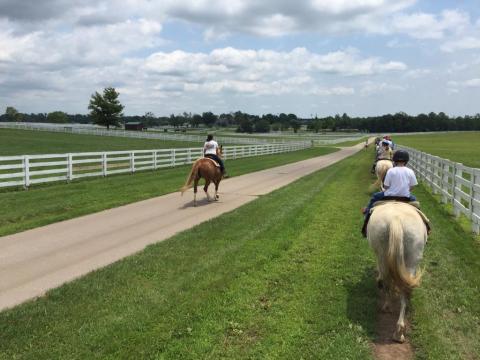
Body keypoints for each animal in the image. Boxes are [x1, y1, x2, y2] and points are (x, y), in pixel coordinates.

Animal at [368, 202, 428, 344]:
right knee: (404, 290)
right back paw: (399, 331)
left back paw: (387, 308)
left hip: (382, 257)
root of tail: (396, 219)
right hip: (412, 260)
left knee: (386, 281)